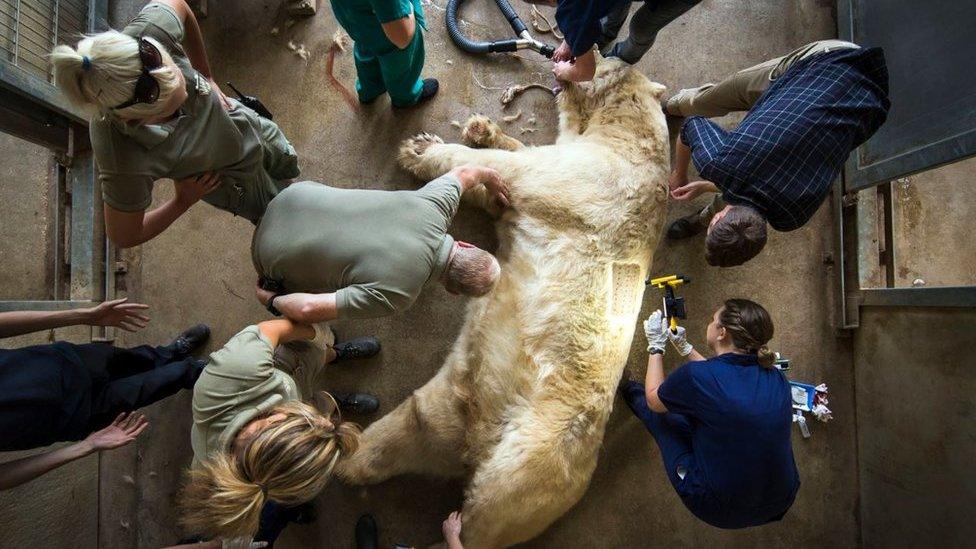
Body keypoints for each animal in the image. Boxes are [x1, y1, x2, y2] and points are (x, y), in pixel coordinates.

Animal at [338, 55, 672, 544]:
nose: (565, 55)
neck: (632, 135)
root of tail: (478, 439)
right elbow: (502, 182)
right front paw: (479, 129)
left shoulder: (598, 177)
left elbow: (511, 171)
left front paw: (421, 151)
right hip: (452, 401)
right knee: (413, 426)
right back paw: (349, 455)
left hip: (536, 460)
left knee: (487, 514)